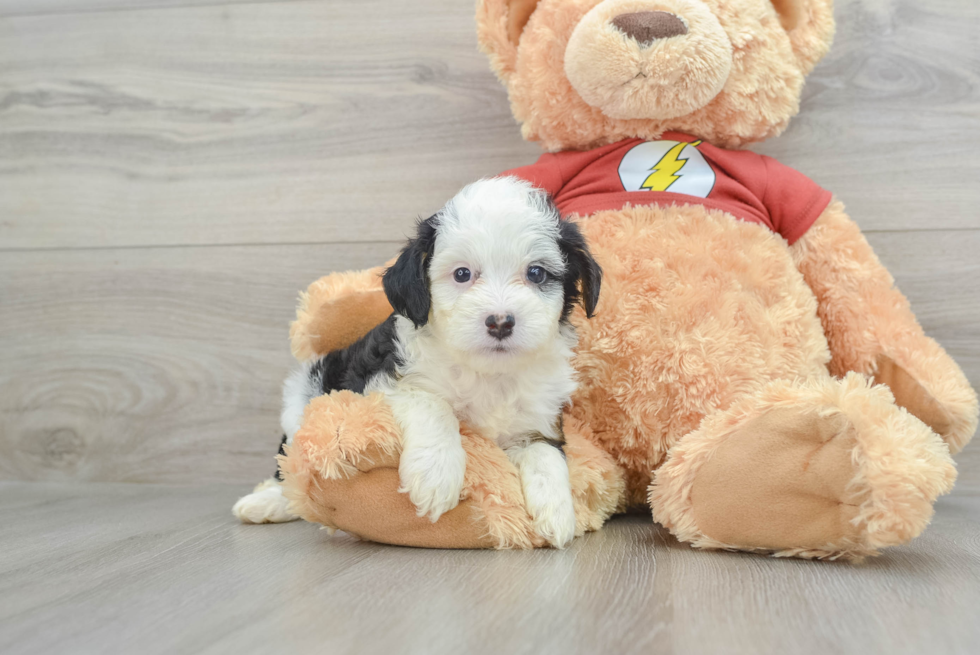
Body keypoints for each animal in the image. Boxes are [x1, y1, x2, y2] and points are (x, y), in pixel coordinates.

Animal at [238, 178, 604, 548]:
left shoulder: (540, 417)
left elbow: (546, 453)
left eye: (537, 273)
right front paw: (435, 475)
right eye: (462, 274)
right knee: (288, 469)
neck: (488, 373)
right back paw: (265, 502)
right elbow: (433, 404)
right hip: (302, 400)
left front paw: (558, 512)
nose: (500, 322)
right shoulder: (382, 384)